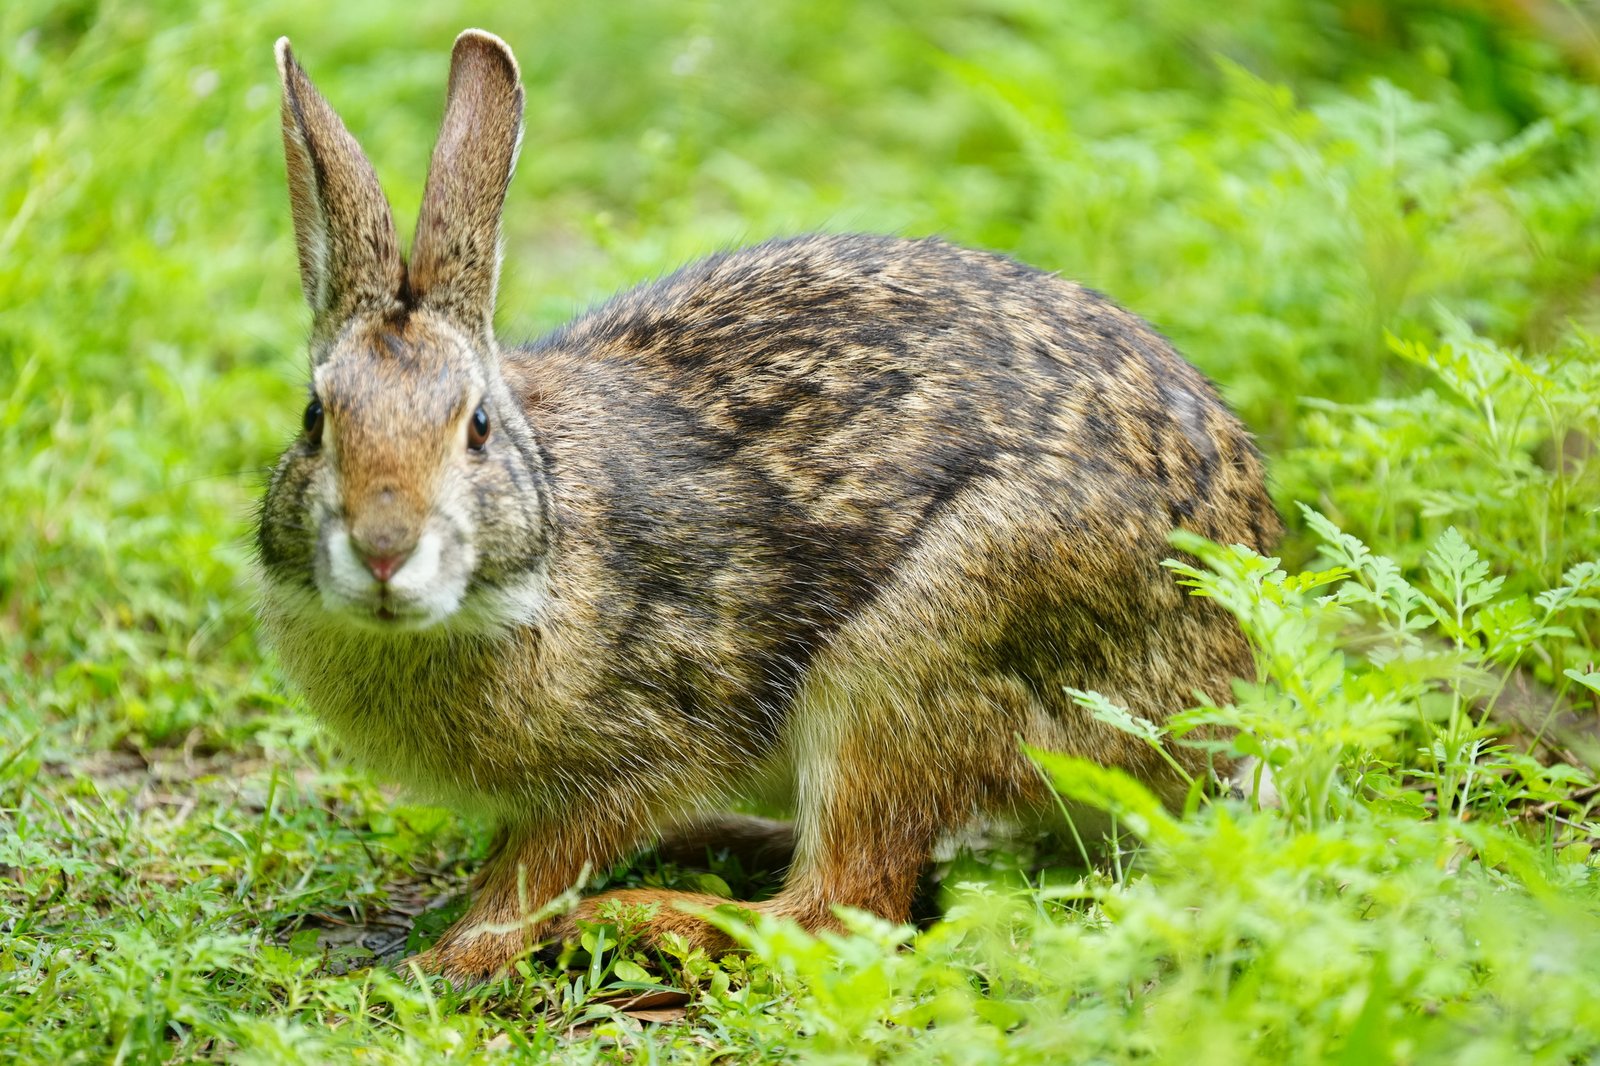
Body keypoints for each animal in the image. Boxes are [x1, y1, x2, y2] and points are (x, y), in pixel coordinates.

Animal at [256, 29, 1282, 984]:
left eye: (475, 427)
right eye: (314, 419)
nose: (385, 549)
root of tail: (1223, 697)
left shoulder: (649, 738)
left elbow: (540, 866)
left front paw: (452, 956)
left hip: (912, 661)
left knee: (843, 907)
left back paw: (640, 916)